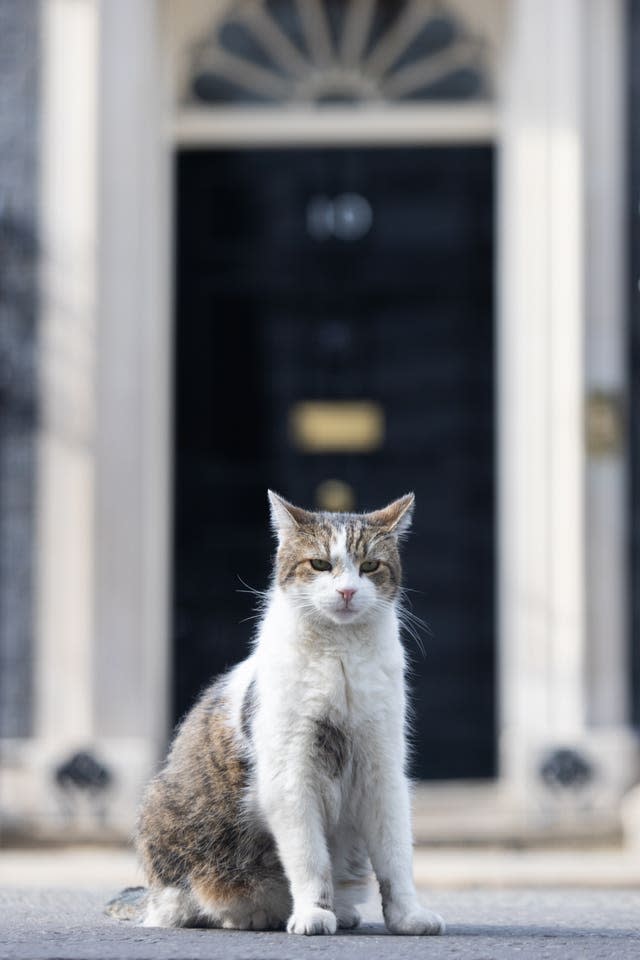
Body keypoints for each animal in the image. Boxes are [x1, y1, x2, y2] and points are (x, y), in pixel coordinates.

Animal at [106, 496, 444, 936]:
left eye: (370, 566)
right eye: (320, 564)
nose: (348, 591)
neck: (340, 656)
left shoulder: (383, 770)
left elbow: (395, 857)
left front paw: (407, 916)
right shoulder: (290, 774)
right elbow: (310, 858)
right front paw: (314, 913)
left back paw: (342, 912)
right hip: (166, 813)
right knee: (186, 904)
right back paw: (253, 913)